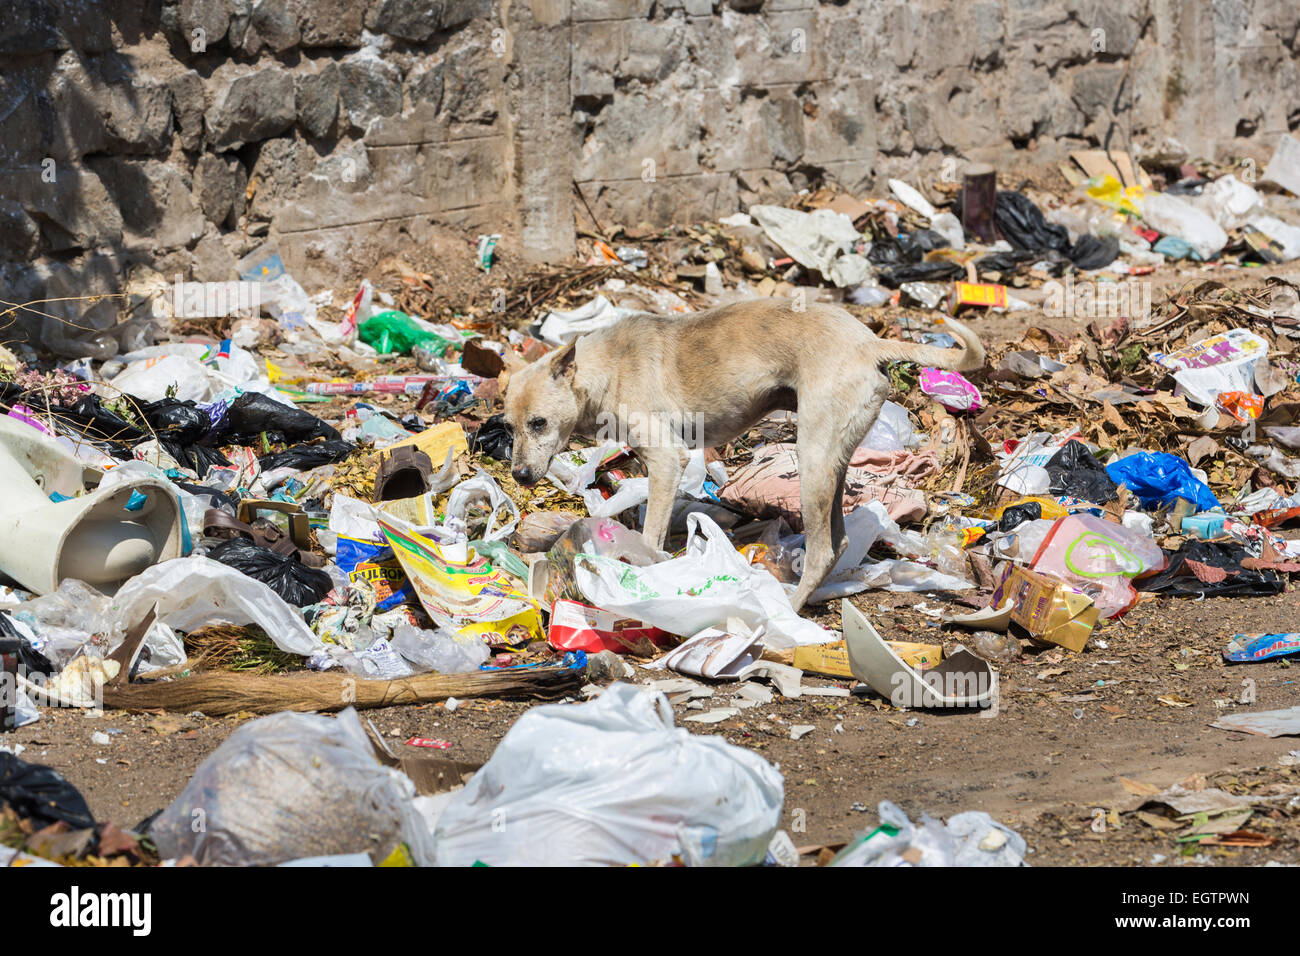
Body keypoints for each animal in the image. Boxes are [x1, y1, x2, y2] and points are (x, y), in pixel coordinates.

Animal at [499, 299, 982, 608]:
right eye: (509, 427)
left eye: (538, 423)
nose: (519, 476)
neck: (604, 369)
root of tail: (869, 343)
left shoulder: (666, 460)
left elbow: (651, 534)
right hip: (833, 461)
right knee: (839, 539)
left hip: (812, 461)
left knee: (822, 550)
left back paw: (787, 609)